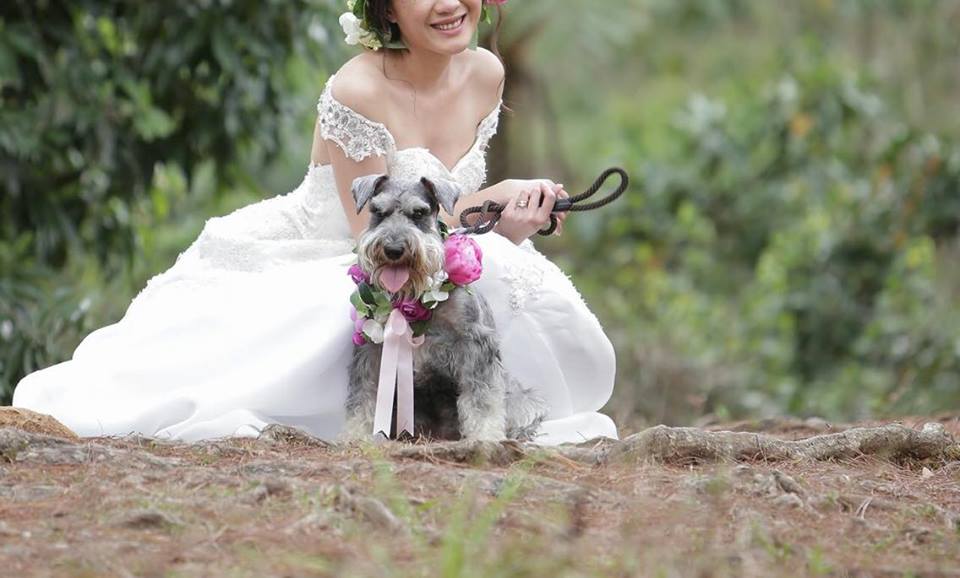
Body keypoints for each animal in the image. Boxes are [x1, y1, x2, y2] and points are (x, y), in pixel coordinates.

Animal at [344, 173, 544, 438]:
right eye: (378, 212)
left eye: (419, 213)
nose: (393, 249)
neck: (415, 297)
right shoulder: (370, 348)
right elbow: (362, 396)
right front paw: (355, 436)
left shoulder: (475, 343)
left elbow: (483, 401)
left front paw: (485, 436)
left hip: (521, 397)